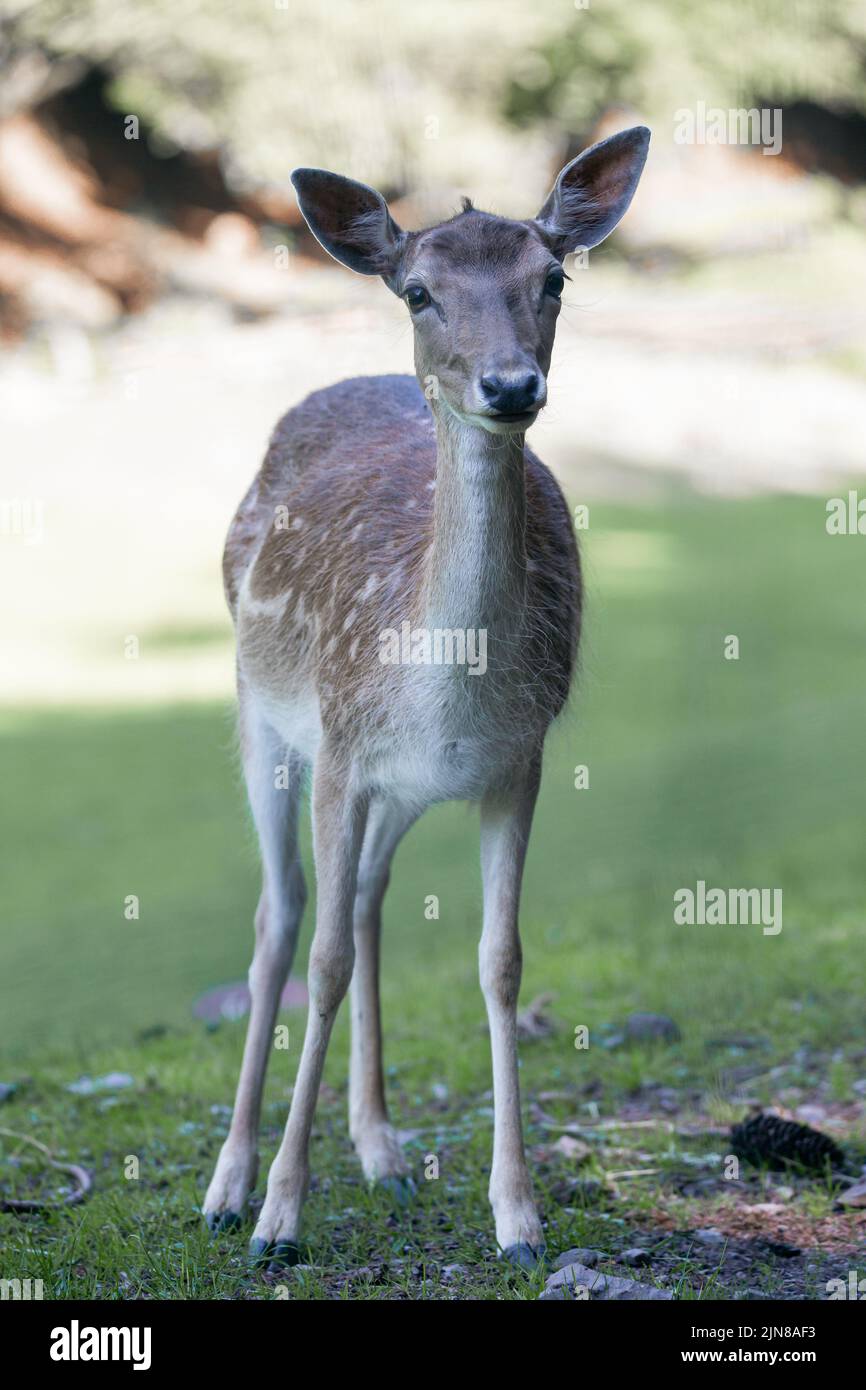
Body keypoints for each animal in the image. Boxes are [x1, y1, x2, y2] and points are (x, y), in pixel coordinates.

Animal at [202, 125, 650, 1267]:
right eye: (418, 291)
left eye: (552, 278)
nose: (509, 385)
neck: (445, 685)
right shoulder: (341, 747)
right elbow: (314, 957)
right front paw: (278, 1215)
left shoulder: (517, 762)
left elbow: (499, 960)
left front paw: (519, 1214)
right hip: (259, 715)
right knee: (283, 915)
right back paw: (228, 1183)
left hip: (395, 794)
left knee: (365, 902)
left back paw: (382, 1148)